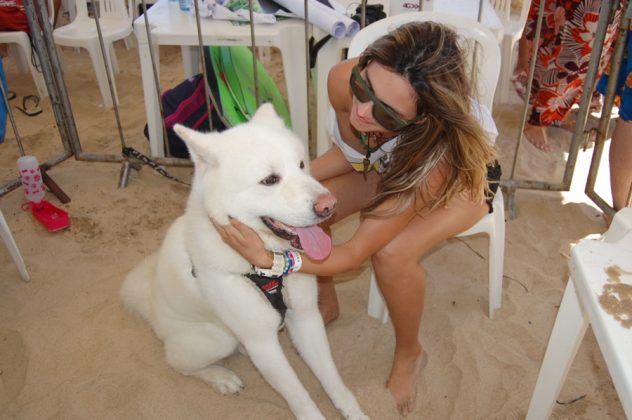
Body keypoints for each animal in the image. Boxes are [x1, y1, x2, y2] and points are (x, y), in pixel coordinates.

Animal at [119, 104, 366, 420]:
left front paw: (353, 412)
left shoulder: (307, 317)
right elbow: (299, 396)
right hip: (216, 338)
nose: (329, 205)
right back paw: (221, 378)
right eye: (270, 180)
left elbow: (332, 378)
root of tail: (151, 309)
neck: (266, 267)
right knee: (177, 363)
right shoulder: (263, 343)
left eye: (301, 164)